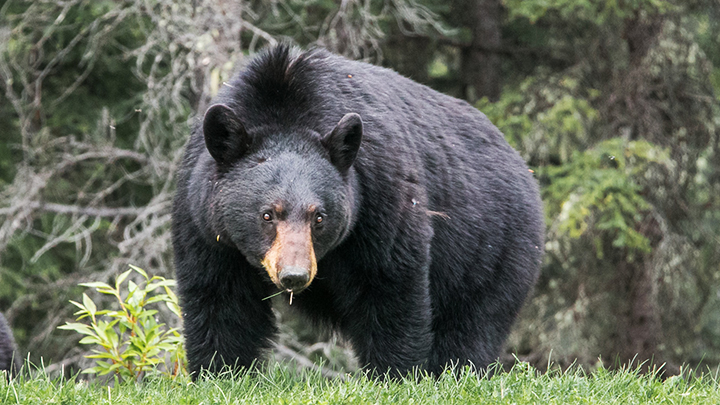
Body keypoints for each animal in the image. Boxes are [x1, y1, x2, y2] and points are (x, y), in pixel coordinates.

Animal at [174, 43, 544, 376]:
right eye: (267, 214)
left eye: (318, 217)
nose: (294, 275)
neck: (284, 102)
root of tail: (522, 166)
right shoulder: (204, 218)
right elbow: (221, 298)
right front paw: (220, 372)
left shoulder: (379, 193)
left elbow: (390, 286)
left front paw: (395, 374)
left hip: (493, 248)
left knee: (473, 324)